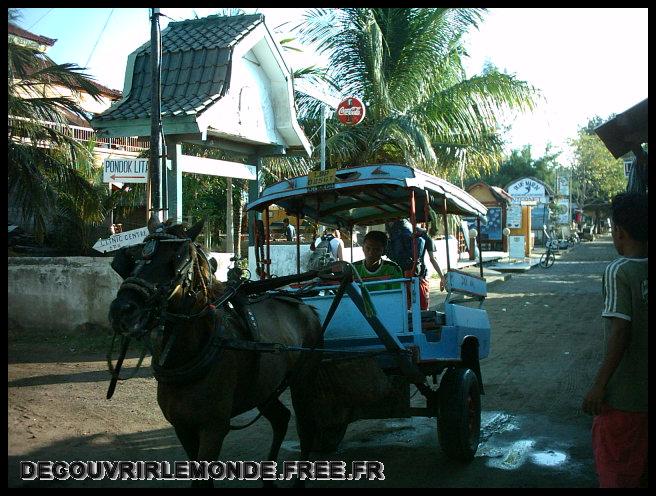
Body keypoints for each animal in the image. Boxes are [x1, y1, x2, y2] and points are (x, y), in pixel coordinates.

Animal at [109, 219, 324, 486]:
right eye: (131, 258)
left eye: (176, 258)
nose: (121, 310)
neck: (192, 352)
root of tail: (306, 307)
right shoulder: (182, 427)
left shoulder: (213, 429)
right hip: (263, 389)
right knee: (281, 418)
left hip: (303, 381)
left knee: (306, 427)